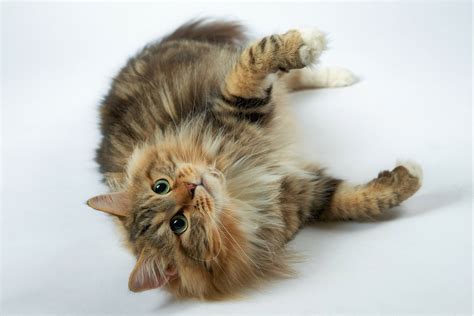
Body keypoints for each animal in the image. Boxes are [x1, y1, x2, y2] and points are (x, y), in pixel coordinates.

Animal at [88, 18, 422, 300]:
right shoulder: (305, 198)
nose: (193, 188)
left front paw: (307, 42)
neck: (238, 186)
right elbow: (357, 202)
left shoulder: (235, 106)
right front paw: (410, 176)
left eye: (161, 186)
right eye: (178, 224)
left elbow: (257, 59)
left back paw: (337, 70)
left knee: (287, 74)